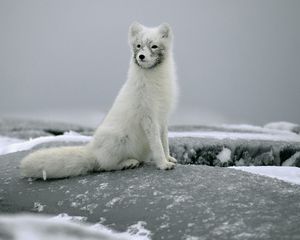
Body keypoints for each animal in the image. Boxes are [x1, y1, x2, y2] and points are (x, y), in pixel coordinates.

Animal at [20, 22, 178, 179]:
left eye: (154, 46)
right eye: (138, 46)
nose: (141, 56)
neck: (155, 81)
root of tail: (92, 150)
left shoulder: (163, 117)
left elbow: (164, 142)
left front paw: (168, 158)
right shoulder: (148, 117)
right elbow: (157, 145)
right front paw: (163, 164)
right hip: (117, 139)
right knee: (105, 165)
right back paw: (128, 163)